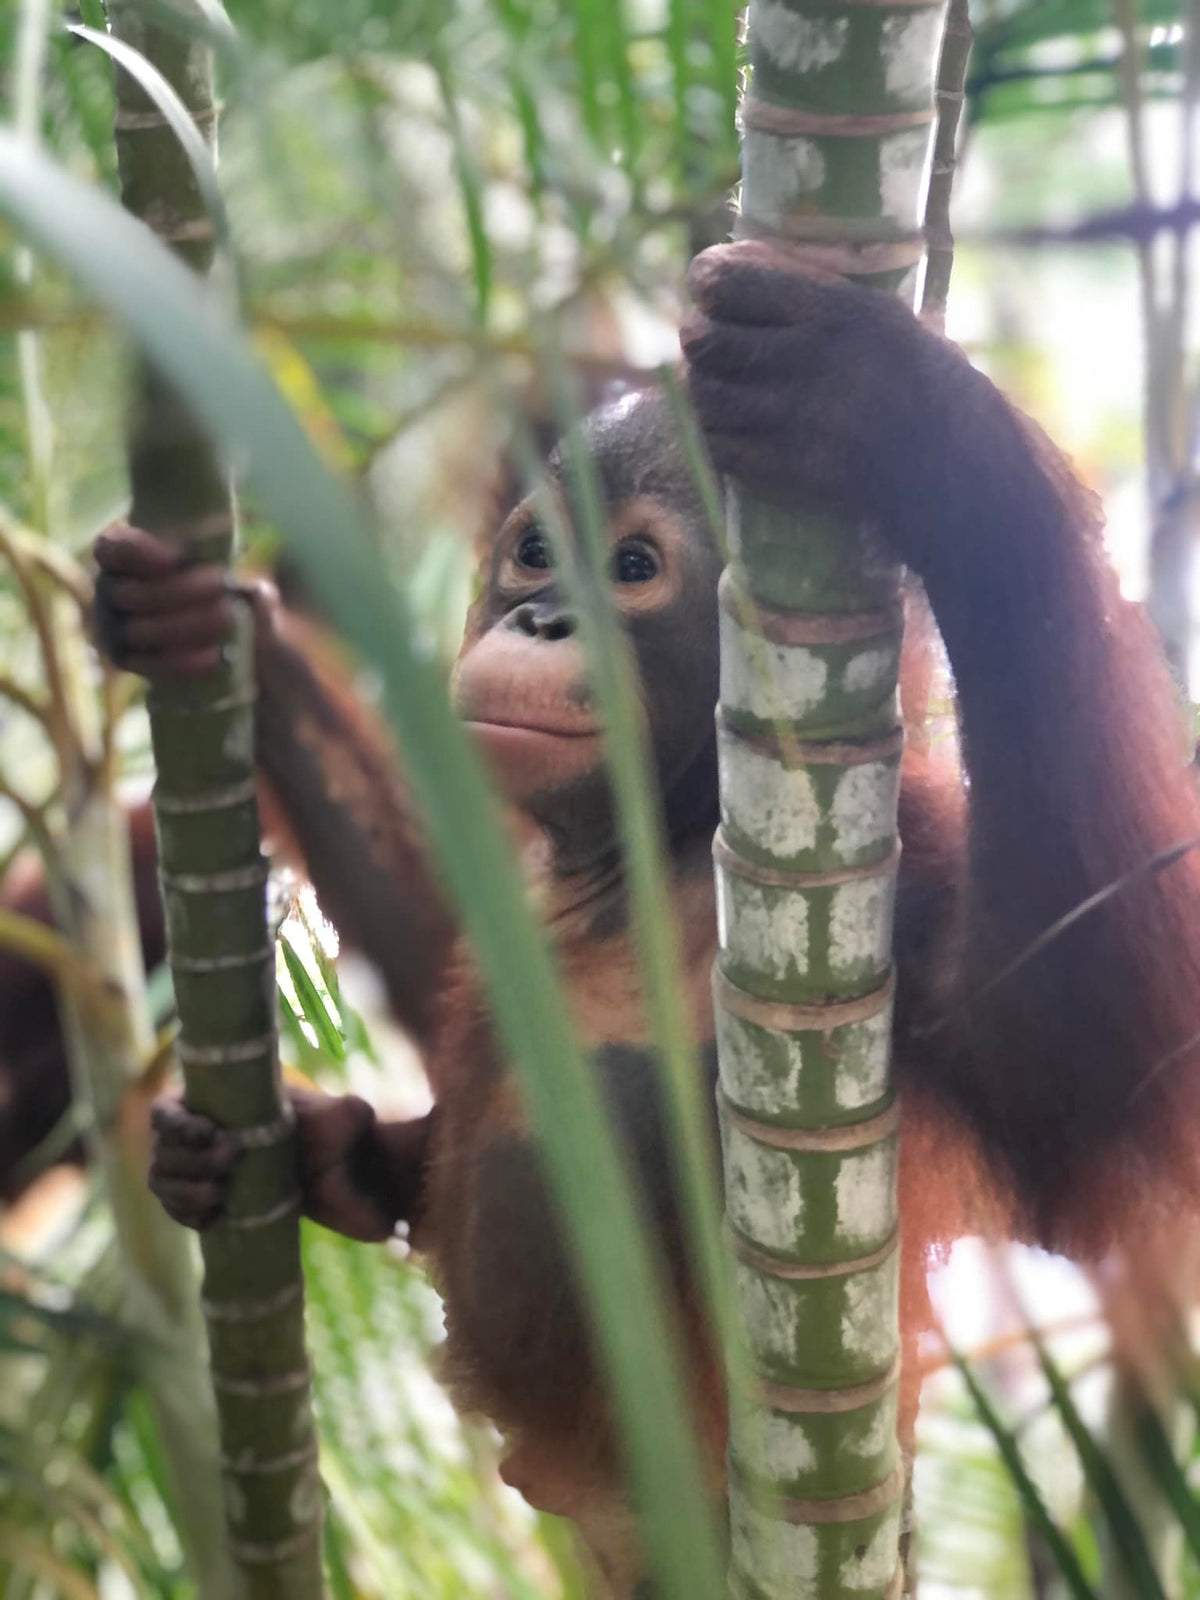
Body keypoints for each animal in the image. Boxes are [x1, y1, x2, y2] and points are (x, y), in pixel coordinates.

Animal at [90, 240, 1200, 1593]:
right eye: (533, 553)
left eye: (630, 569)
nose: (541, 616)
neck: (662, 846)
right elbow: (434, 966)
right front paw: (217, 624)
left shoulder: (908, 870)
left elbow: (1073, 1076)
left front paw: (905, 421)